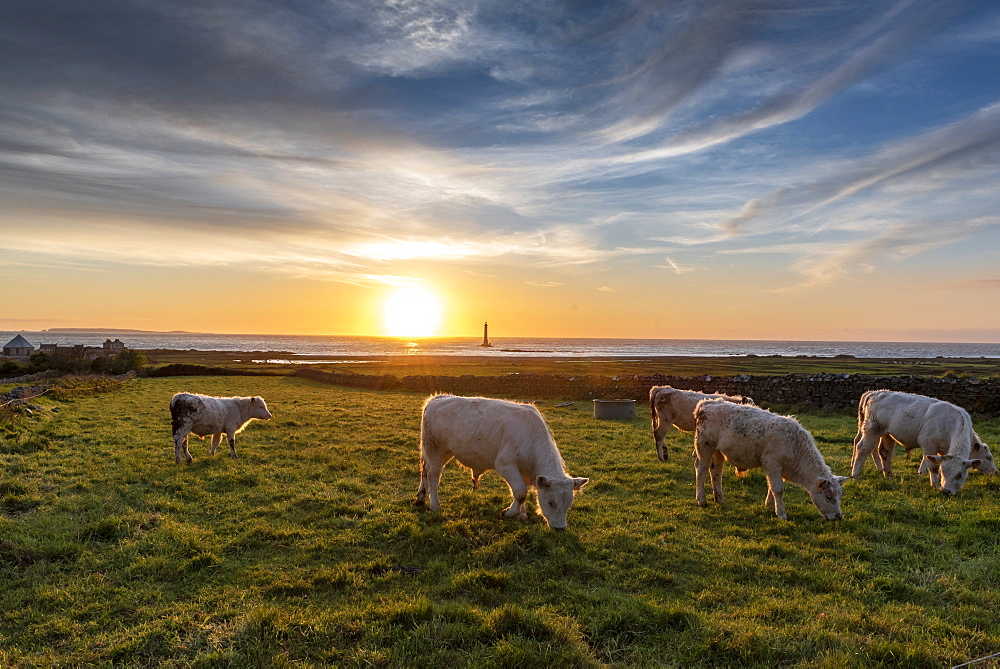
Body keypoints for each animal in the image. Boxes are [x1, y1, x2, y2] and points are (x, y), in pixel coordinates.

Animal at [412, 394, 584, 528]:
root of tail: (437, 398)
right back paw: (435, 505)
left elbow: (524, 491)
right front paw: (508, 513)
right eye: (550, 502)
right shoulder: (505, 465)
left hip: (441, 452)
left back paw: (421, 498)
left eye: (569, 504)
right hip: (435, 449)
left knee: (425, 471)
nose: (560, 528)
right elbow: (521, 492)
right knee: (433, 476)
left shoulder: (525, 471)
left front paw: (522, 515)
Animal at [692, 396, 848, 520]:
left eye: (840, 496)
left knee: (716, 472)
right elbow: (778, 489)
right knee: (701, 470)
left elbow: (772, 488)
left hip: (718, 452)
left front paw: (769, 506)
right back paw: (701, 500)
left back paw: (719, 499)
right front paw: (781, 513)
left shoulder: (778, 470)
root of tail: (707, 403)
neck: (795, 445)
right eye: (829, 496)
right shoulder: (773, 464)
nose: (838, 516)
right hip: (704, 446)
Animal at [848, 388, 988, 494]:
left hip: (887, 434)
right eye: (989, 457)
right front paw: (934, 483)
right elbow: (932, 466)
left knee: (885, 452)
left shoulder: (943, 451)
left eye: (960, 475)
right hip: (872, 430)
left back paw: (888, 475)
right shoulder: (928, 443)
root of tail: (874, 393)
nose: (946, 491)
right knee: (862, 449)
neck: (950, 422)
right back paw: (855, 475)